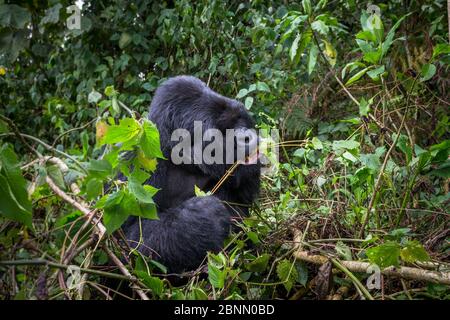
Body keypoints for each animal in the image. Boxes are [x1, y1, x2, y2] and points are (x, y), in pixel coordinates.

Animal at [121, 75, 262, 272]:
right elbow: (130, 241)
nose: (246, 136)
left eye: (238, 121)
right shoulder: (135, 164)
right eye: (222, 131)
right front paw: (202, 215)